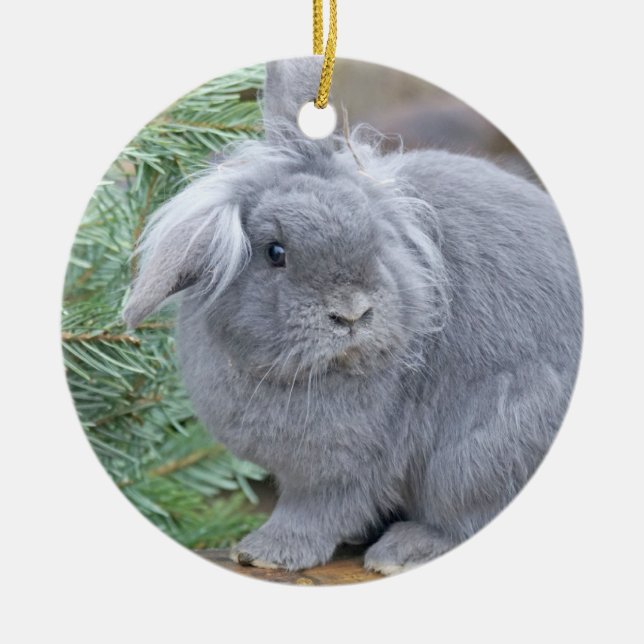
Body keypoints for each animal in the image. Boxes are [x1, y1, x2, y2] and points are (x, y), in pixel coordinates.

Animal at [123, 57, 582, 575]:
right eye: (275, 252)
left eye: (375, 237)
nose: (352, 313)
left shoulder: (341, 469)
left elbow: (317, 511)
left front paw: (265, 553)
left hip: (481, 451)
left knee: (464, 521)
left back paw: (398, 551)